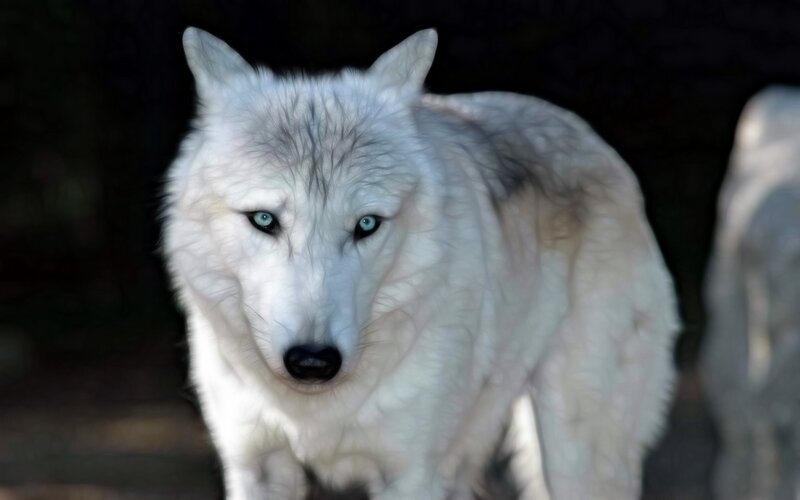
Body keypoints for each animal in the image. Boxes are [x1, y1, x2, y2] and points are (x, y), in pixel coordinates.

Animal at [162, 28, 679, 499]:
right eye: (264, 219)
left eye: (366, 224)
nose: (313, 362)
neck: (314, 411)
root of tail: (592, 139)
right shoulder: (256, 466)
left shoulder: (411, 475)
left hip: (574, 455)